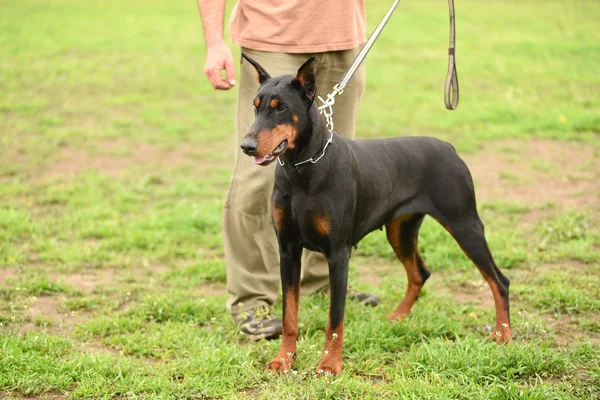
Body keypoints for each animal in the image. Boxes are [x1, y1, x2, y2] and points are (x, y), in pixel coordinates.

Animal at [239, 54, 510, 376]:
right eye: (255, 106)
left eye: (280, 108)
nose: (247, 146)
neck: (302, 169)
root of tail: (449, 147)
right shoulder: (288, 249)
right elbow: (289, 314)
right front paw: (284, 359)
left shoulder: (338, 254)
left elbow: (335, 319)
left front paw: (329, 365)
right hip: (400, 231)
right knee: (420, 273)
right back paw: (398, 316)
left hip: (465, 224)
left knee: (499, 281)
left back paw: (503, 334)